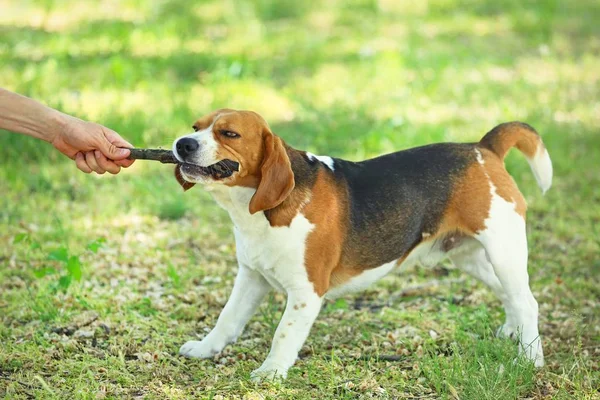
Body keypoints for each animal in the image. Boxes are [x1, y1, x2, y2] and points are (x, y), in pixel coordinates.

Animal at [171, 109, 552, 382]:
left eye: (229, 133)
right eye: (195, 126)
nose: (182, 144)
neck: (255, 210)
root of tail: (482, 148)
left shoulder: (306, 293)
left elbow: (283, 334)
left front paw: (271, 372)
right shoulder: (251, 277)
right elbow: (227, 319)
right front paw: (205, 349)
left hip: (503, 250)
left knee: (527, 302)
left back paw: (529, 359)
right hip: (471, 258)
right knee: (510, 297)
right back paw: (513, 333)